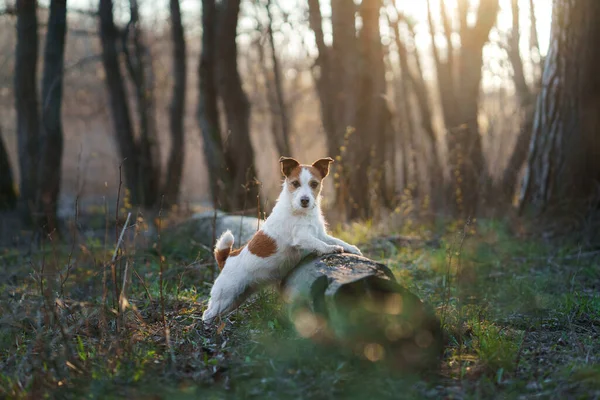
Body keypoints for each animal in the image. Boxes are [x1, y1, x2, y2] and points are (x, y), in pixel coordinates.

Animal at [202, 155, 360, 324]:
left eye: (314, 184)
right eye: (295, 184)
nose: (305, 200)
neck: (298, 210)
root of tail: (227, 259)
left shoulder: (320, 233)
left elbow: (336, 240)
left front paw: (352, 248)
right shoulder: (302, 237)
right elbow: (319, 244)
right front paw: (331, 249)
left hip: (236, 299)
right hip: (225, 296)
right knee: (207, 314)